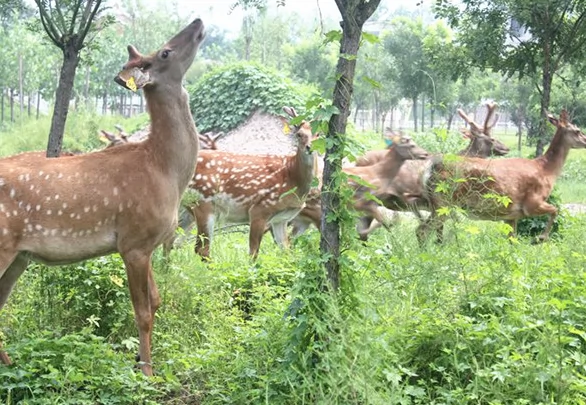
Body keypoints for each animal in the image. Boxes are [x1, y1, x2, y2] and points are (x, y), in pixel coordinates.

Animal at [0, 17, 205, 374]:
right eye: (165, 52)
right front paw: (147, 370)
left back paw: (11, 364)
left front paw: (140, 360)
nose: (197, 22)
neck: (163, 167)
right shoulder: (133, 241)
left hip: (18, 255)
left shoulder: (146, 242)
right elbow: (143, 312)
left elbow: (156, 300)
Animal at [416, 109, 584, 243]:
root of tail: (431, 169)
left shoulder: (511, 215)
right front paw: (540, 238)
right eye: (577, 130)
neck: (546, 171)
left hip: (438, 204)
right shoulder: (532, 202)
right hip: (444, 201)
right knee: (423, 230)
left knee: (422, 229)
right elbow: (555, 209)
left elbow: (512, 241)